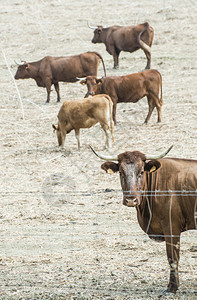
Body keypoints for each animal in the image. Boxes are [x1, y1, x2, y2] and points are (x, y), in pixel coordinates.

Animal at [90, 146, 197, 296]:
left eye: (141, 172)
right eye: (121, 172)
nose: (130, 200)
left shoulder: (172, 227)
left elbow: (172, 257)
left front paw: (172, 287)